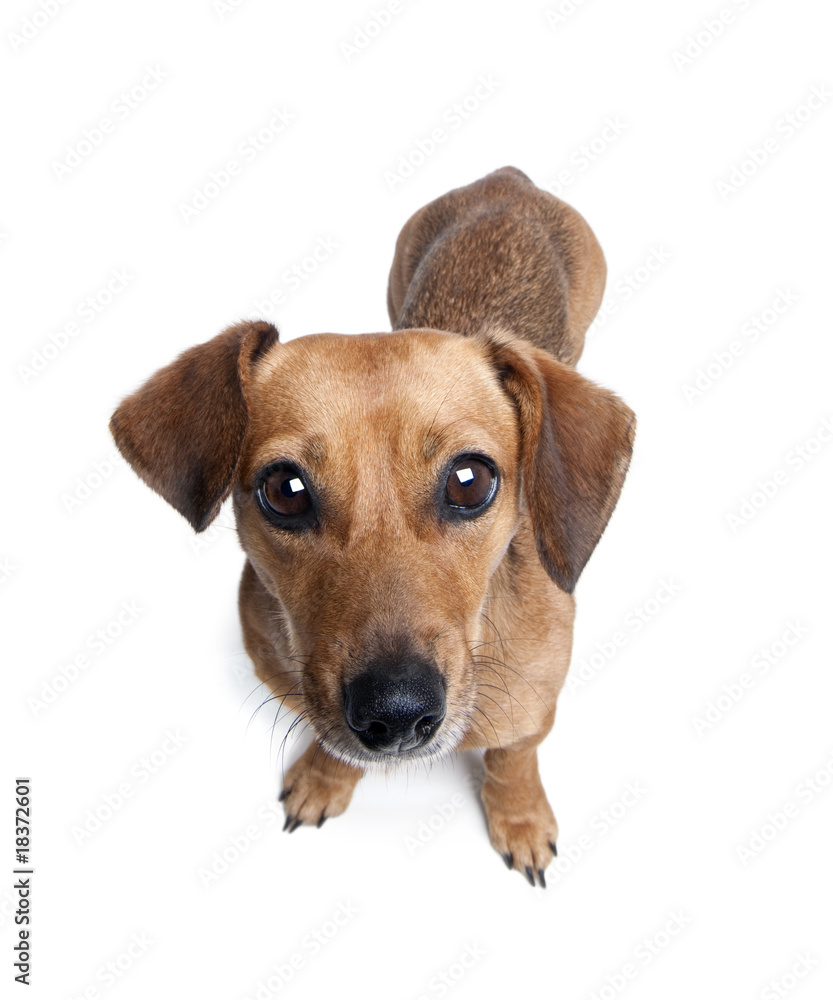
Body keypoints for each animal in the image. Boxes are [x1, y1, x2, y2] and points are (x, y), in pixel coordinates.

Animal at [107, 168, 632, 888]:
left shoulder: (531, 717)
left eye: (470, 480)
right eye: (285, 490)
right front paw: (325, 779)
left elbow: (511, 760)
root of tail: (508, 179)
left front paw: (520, 818)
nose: (397, 710)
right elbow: (334, 750)